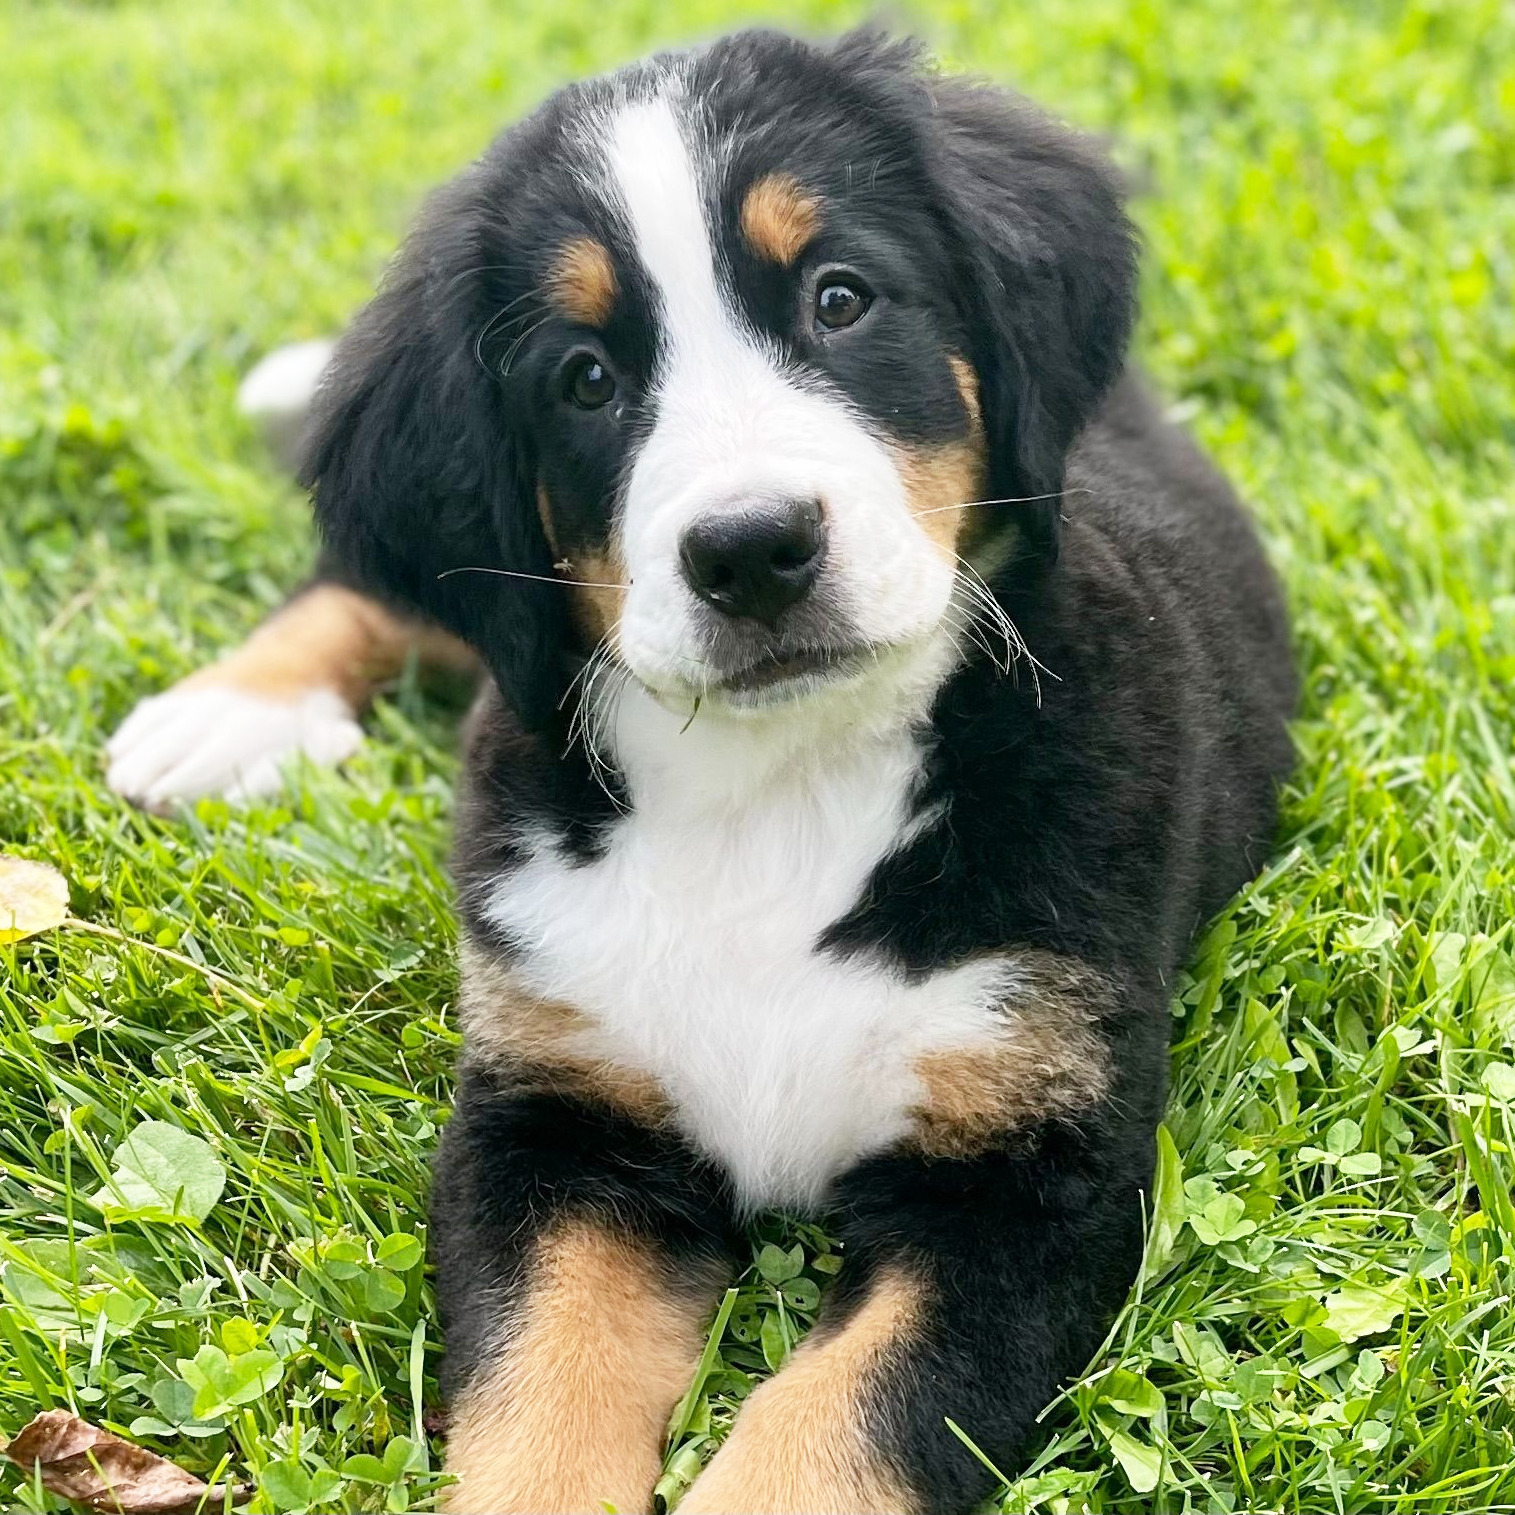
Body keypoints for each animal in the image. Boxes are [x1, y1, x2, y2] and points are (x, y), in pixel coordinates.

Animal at [106, 26, 1296, 1515]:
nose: (750, 547)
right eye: (584, 379)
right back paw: (224, 715)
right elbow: (539, 1398)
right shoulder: (556, 1120)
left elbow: (836, 1424)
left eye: (840, 299)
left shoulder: (1027, 1175)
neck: (778, 784)